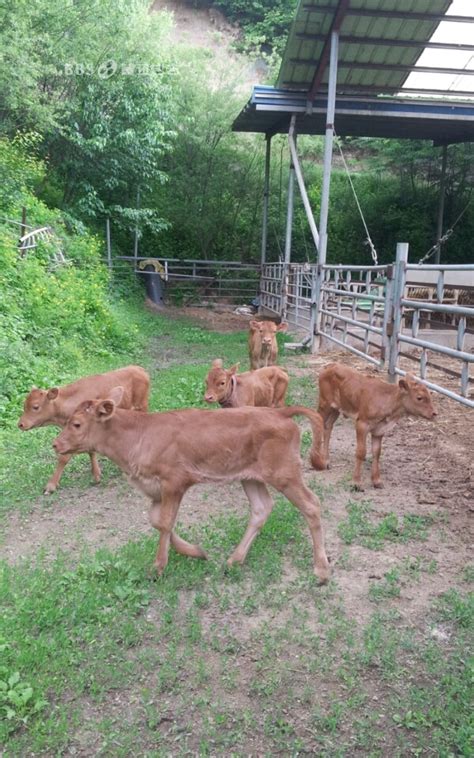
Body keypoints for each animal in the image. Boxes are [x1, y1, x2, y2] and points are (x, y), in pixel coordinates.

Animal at [52, 400, 330, 584]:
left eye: (76, 424)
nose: (55, 444)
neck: (138, 436)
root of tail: (280, 411)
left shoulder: (174, 480)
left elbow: (165, 522)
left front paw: (158, 566)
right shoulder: (156, 488)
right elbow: (157, 521)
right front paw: (195, 552)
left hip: (284, 473)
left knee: (312, 504)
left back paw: (321, 570)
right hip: (250, 477)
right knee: (262, 508)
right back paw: (234, 560)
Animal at [314, 364, 436, 492]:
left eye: (429, 395)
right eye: (419, 397)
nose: (434, 413)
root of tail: (331, 365)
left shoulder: (379, 430)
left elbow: (376, 452)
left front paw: (377, 481)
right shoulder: (362, 424)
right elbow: (361, 452)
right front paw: (356, 482)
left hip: (335, 409)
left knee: (328, 426)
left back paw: (326, 460)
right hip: (324, 404)